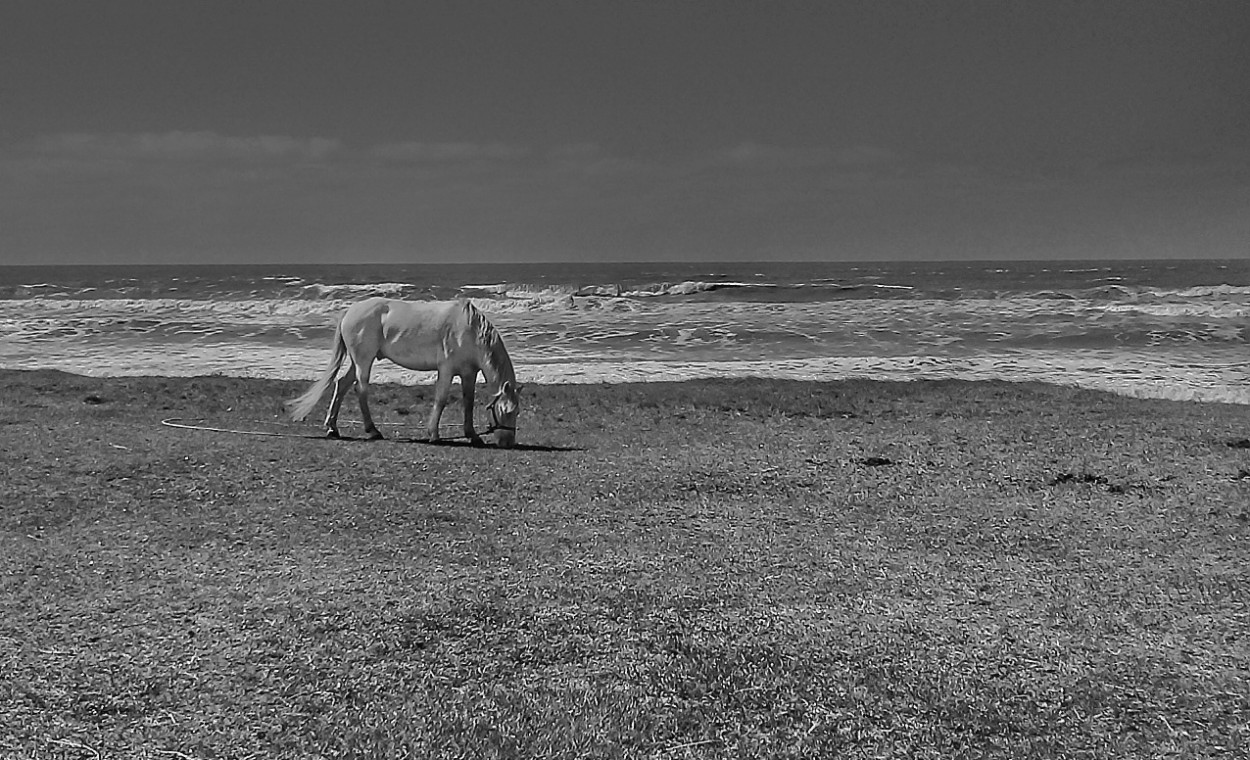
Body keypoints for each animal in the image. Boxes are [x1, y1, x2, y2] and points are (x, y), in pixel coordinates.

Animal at [287, 297, 522, 445]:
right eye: (506, 410)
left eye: (517, 412)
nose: (508, 442)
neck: (468, 330)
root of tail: (350, 310)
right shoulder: (446, 369)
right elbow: (441, 399)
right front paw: (434, 434)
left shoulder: (468, 373)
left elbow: (468, 403)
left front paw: (473, 435)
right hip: (364, 360)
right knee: (360, 389)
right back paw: (373, 430)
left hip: (357, 361)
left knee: (342, 385)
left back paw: (332, 428)